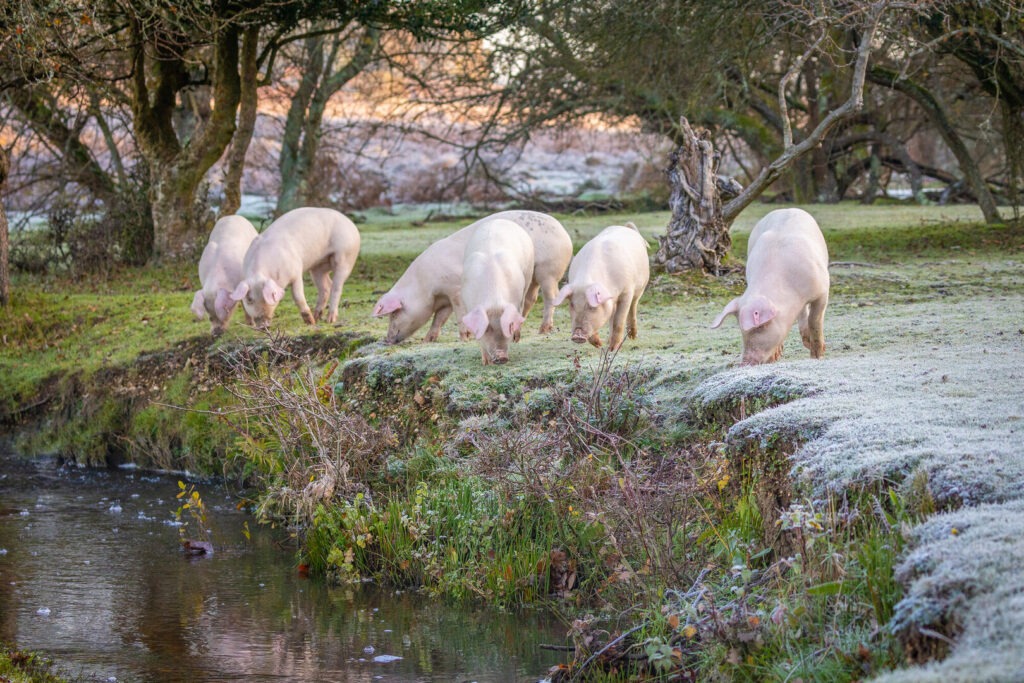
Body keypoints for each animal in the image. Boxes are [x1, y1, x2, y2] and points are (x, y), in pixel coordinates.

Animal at [230, 207, 360, 328]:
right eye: (249, 299)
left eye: (269, 296)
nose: (262, 326)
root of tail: (352, 225)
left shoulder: (296, 271)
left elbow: (297, 296)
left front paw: (309, 323)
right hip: (318, 267)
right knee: (326, 287)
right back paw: (317, 317)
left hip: (345, 257)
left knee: (336, 287)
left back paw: (329, 320)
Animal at [372, 211, 572, 344]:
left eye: (394, 314)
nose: (387, 340)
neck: (425, 286)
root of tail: (565, 235)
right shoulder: (444, 299)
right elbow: (439, 318)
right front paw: (428, 340)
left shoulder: (455, 290)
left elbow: (459, 314)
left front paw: (465, 338)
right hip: (532, 276)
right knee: (530, 298)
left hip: (548, 270)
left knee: (551, 297)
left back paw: (543, 329)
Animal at [459, 218, 535, 365]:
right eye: (487, 328)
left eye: (508, 326)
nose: (501, 357)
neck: (494, 299)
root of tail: (499, 219)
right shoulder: (468, 303)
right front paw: (485, 363)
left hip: (529, 272)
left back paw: (517, 338)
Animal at [710, 207, 830, 365]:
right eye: (741, 331)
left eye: (760, 328)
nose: (744, 363)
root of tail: (785, 209)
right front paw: (774, 359)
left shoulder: (822, 289)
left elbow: (815, 320)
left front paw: (817, 356)